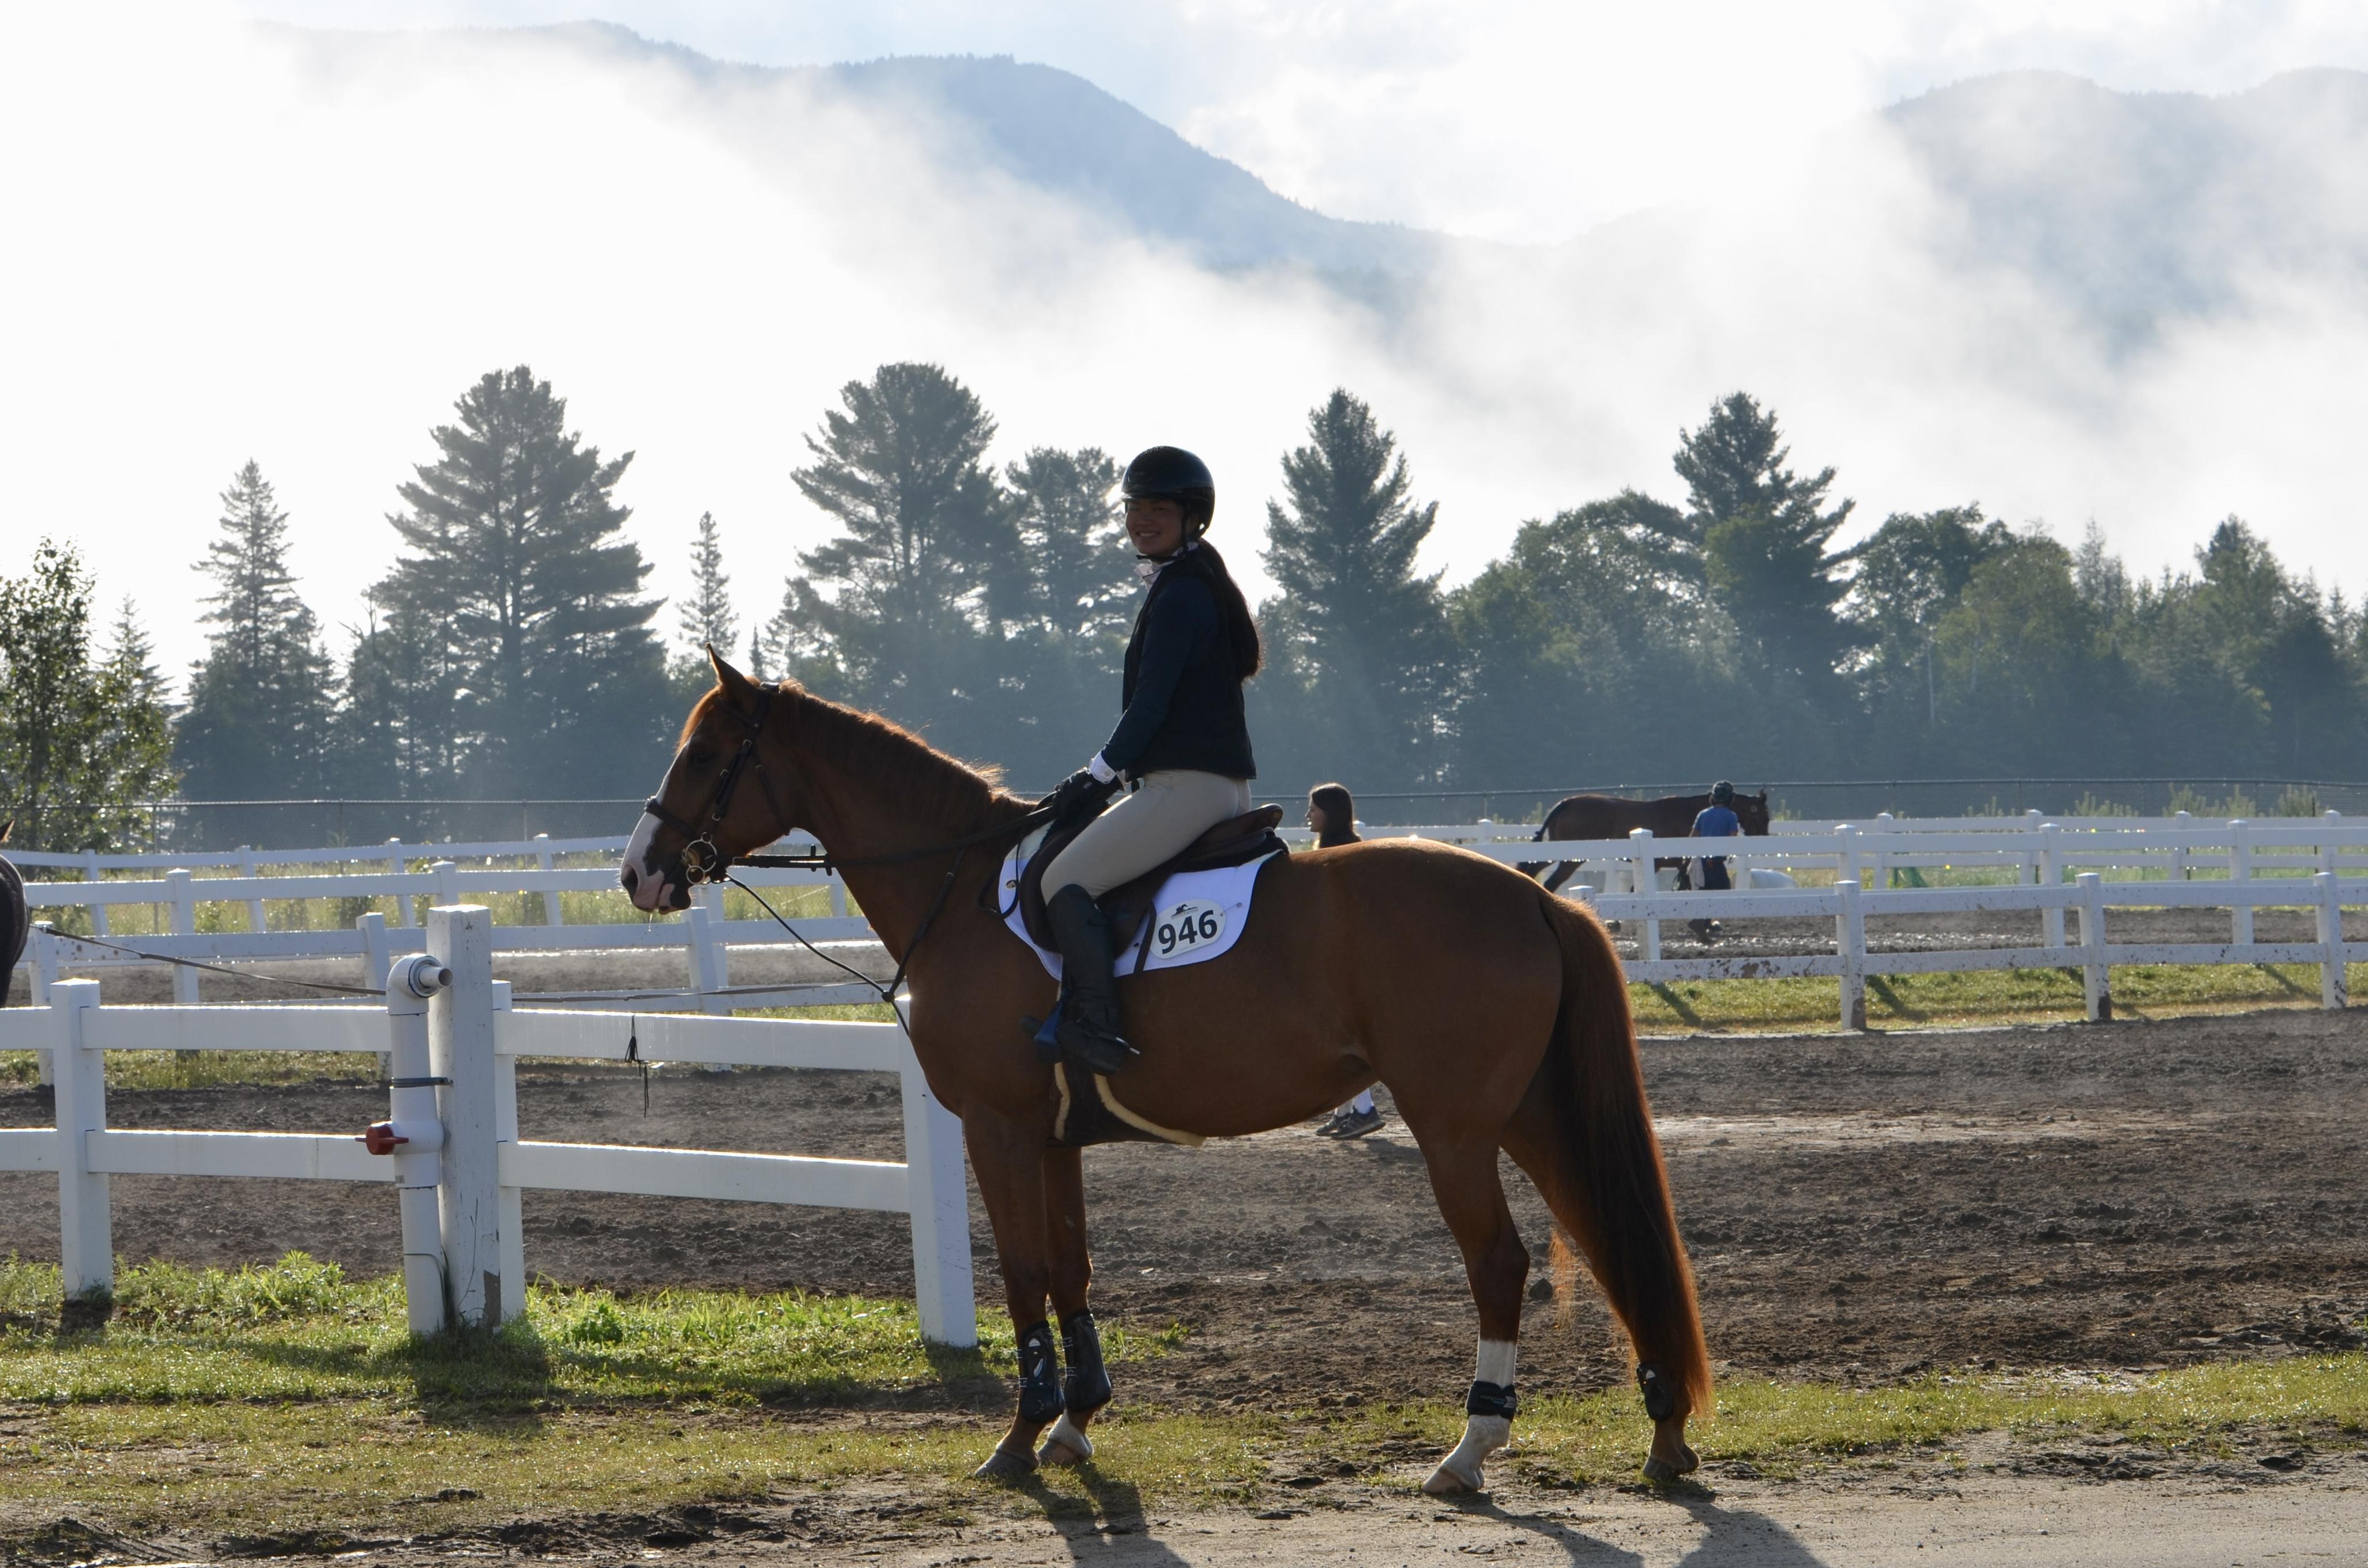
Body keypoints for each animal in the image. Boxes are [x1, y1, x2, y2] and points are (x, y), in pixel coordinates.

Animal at [621, 653, 1709, 1493]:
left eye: (709, 754)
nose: (640, 871)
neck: (960, 889)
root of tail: (1534, 897)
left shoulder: (995, 1126)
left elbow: (1021, 1275)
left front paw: (1019, 1438)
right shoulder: (1051, 1136)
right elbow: (1070, 1271)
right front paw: (1073, 1423)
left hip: (1454, 1128)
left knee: (1501, 1262)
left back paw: (1471, 1448)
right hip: (1526, 1113)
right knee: (1609, 1239)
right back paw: (1663, 1433)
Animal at [1520, 790, 1771, 895]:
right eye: (1764, 816)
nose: (1764, 839)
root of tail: (1568, 802)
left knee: (1532, 869)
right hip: (1571, 859)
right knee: (1550, 882)